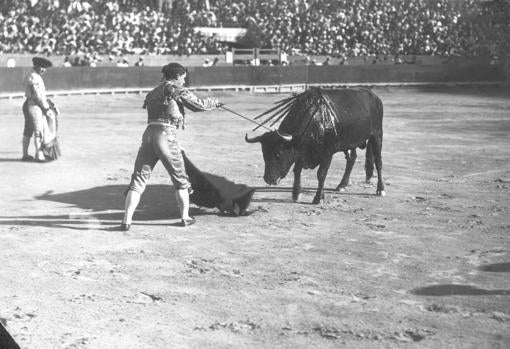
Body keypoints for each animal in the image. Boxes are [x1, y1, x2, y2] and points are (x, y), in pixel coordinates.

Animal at [245, 85, 384, 203]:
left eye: (278, 154)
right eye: (264, 154)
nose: (268, 179)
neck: (314, 119)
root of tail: (375, 97)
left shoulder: (327, 153)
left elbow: (321, 174)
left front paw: (318, 198)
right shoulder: (301, 151)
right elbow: (297, 171)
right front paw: (296, 194)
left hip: (377, 134)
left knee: (378, 162)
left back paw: (380, 189)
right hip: (349, 142)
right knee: (351, 158)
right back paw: (341, 185)